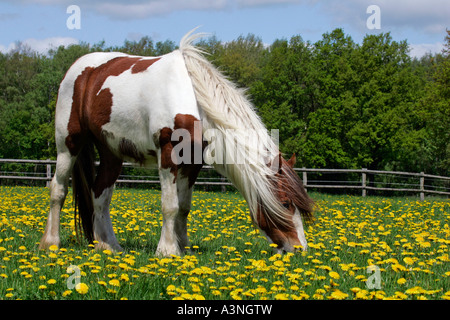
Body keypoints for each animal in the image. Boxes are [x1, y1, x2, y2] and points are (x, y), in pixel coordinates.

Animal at [38, 29, 314, 255]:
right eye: (286, 203)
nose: (300, 248)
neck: (194, 101)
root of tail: (79, 68)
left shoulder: (192, 163)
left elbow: (184, 207)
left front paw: (183, 248)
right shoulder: (168, 155)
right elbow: (170, 205)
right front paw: (167, 250)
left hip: (111, 153)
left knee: (100, 195)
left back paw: (108, 246)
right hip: (68, 144)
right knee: (58, 190)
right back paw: (51, 243)